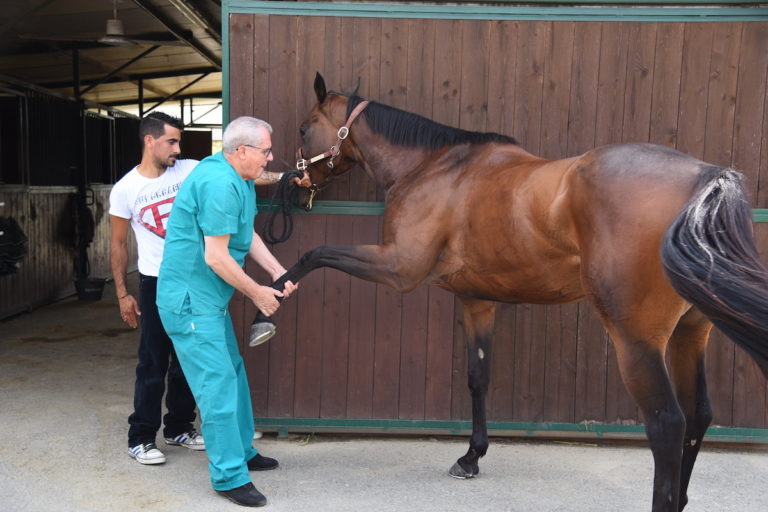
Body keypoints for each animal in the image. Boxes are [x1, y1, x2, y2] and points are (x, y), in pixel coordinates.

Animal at [256, 73, 768, 512]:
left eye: (304, 128)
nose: (296, 184)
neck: (434, 167)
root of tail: (703, 176)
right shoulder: (477, 301)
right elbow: (478, 378)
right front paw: (471, 457)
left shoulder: (398, 268)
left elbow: (316, 253)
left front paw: (267, 309)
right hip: (690, 330)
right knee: (698, 415)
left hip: (637, 339)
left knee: (667, 423)